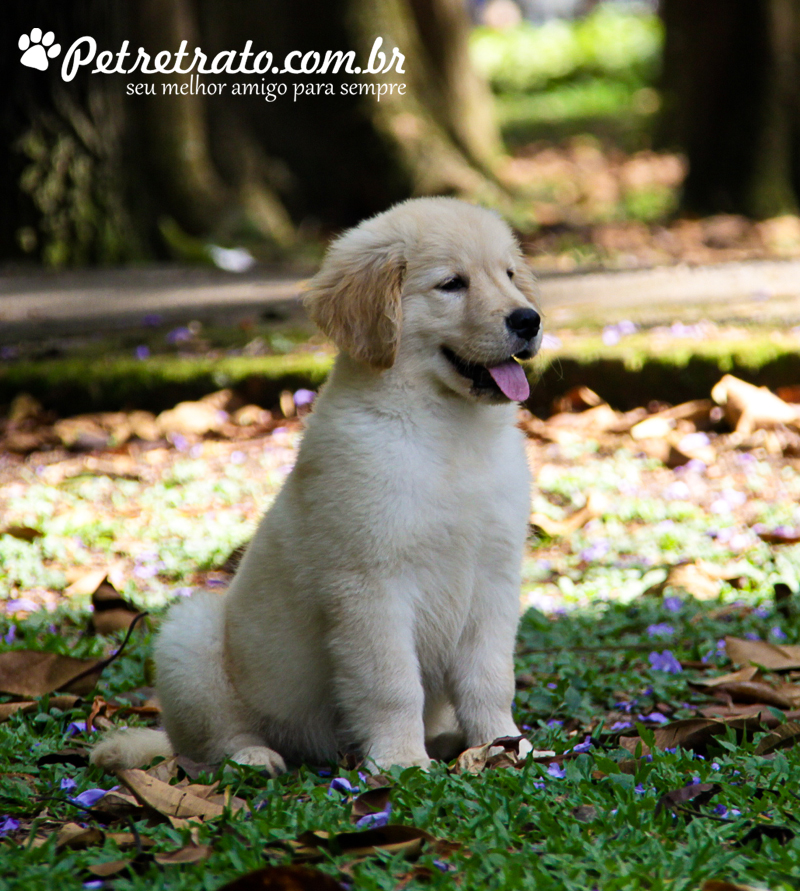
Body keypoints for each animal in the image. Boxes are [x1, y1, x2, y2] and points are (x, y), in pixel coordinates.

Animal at [94, 195, 544, 772]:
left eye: (509, 275)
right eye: (451, 284)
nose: (529, 319)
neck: (447, 430)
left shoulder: (493, 579)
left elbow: (490, 680)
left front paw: (508, 746)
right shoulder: (369, 586)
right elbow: (393, 685)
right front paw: (402, 762)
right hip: (190, 640)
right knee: (208, 746)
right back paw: (254, 757)